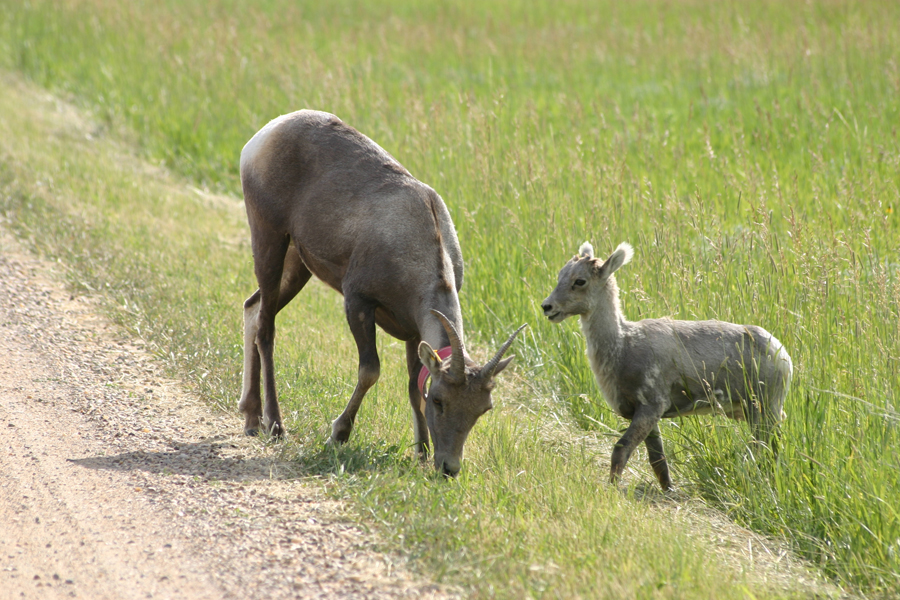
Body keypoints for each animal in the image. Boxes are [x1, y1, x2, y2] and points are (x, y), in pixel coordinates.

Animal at [238, 110, 525, 477]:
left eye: (483, 409)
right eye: (440, 400)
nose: (448, 468)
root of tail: (266, 133)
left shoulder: (413, 331)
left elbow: (412, 384)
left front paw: (420, 453)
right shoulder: (359, 302)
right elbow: (370, 370)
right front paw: (338, 435)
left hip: (297, 263)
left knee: (253, 306)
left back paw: (250, 418)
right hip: (269, 237)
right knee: (266, 328)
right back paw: (275, 426)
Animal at [541, 242, 792, 490]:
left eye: (580, 281)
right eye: (560, 275)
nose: (547, 307)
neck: (622, 345)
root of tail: (783, 354)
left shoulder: (651, 405)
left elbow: (621, 449)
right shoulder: (646, 413)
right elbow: (658, 459)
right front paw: (669, 489)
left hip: (765, 407)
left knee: (766, 447)